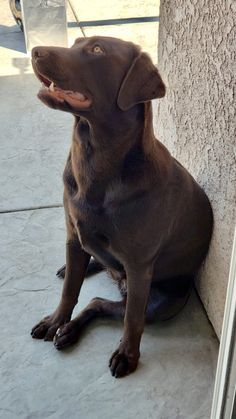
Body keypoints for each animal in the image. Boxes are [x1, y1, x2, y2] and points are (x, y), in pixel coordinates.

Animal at [30, 37, 213, 378]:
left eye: (97, 50)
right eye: (76, 43)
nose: (35, 51)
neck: (95, 160)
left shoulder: (139, 266)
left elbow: (131, 320)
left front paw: (127, 355)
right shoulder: (73, 237)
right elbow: (70, 290)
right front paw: (56, 320)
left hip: (161, 302)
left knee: (101, 303)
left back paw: (72, 331)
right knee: (94, 286)